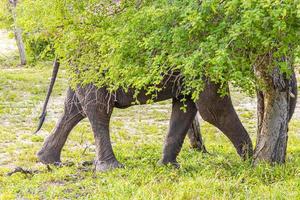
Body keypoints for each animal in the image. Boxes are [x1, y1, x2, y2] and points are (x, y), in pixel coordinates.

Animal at [36, 60, 254, 171]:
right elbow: (214, 108)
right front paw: (252, 162)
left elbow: (186, 105)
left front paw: (169, 167)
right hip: (92, 64)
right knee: (98, 108)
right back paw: (111, 168)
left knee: (74, 108)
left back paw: (49, 161)